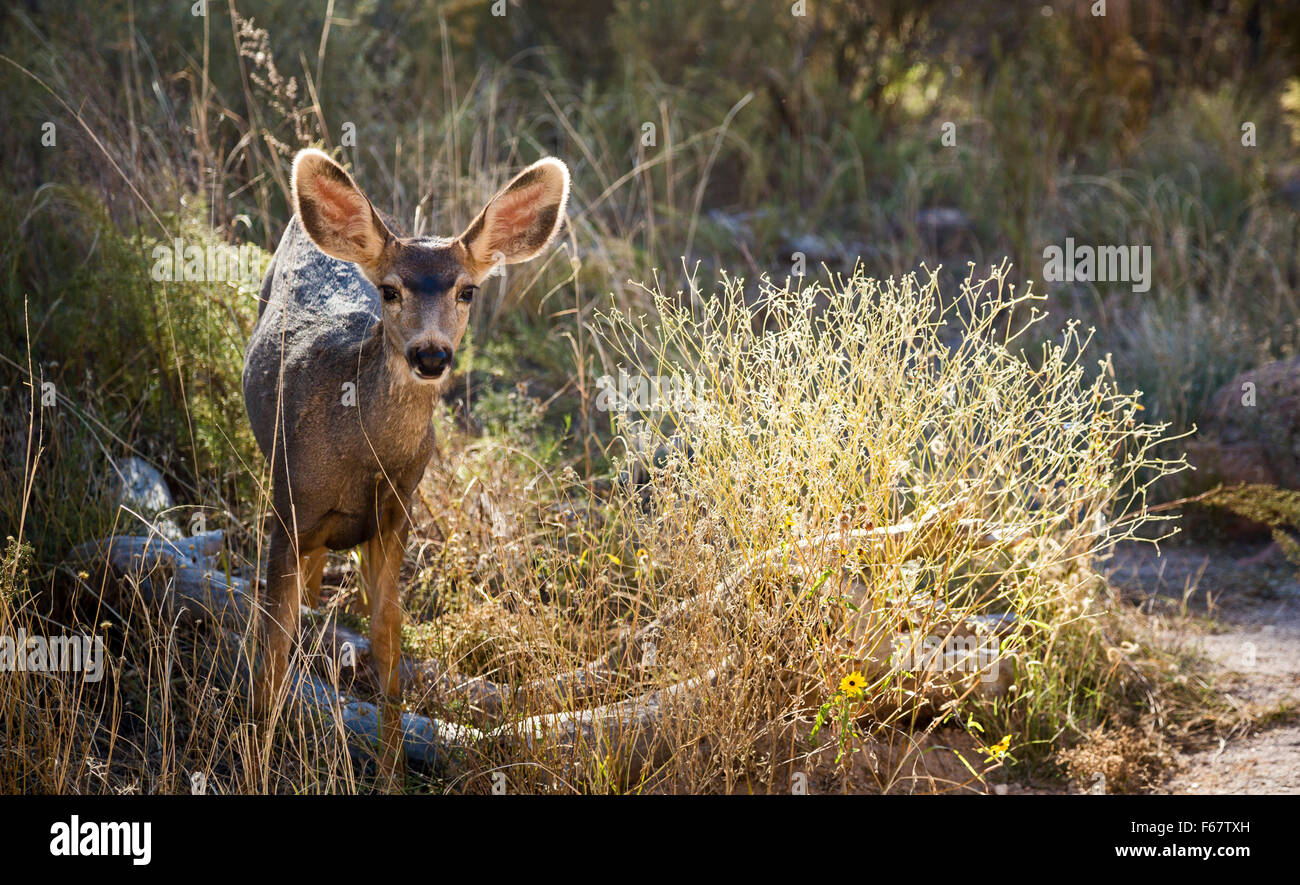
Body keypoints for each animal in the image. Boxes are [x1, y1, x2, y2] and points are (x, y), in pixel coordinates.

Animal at [244, 150, 569, 779]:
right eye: (391, 291)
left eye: (468, 291)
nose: (431, 354)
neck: (356, 454)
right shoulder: (288, 507)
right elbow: (272, 647)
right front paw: (255, 756)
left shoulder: (396, 514)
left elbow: (388, 639)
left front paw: (393, 768)